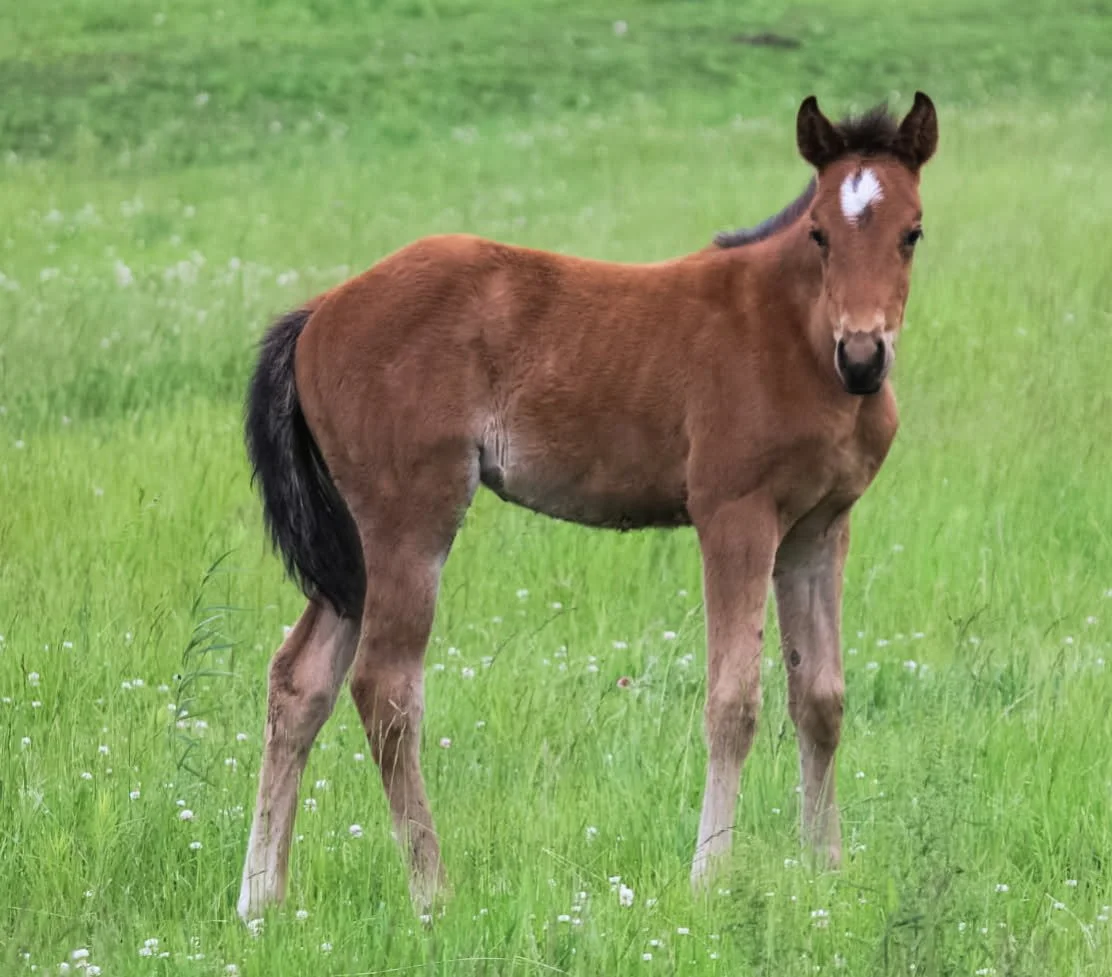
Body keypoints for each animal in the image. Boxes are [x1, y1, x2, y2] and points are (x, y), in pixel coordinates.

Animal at [237, 92, 938, 920]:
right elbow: (733, 701)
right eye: (821, 233)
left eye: (912, 232)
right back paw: (433, 892)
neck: (795, 336)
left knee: (299, 679)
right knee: (385, 687)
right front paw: (710, 877)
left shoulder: (818, 528)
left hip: (351, 547)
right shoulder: (734, 515)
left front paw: (826, 868)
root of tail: (318, 311)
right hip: (407, 518)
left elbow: (821, 698)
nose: (863, 357)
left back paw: (260, 900)